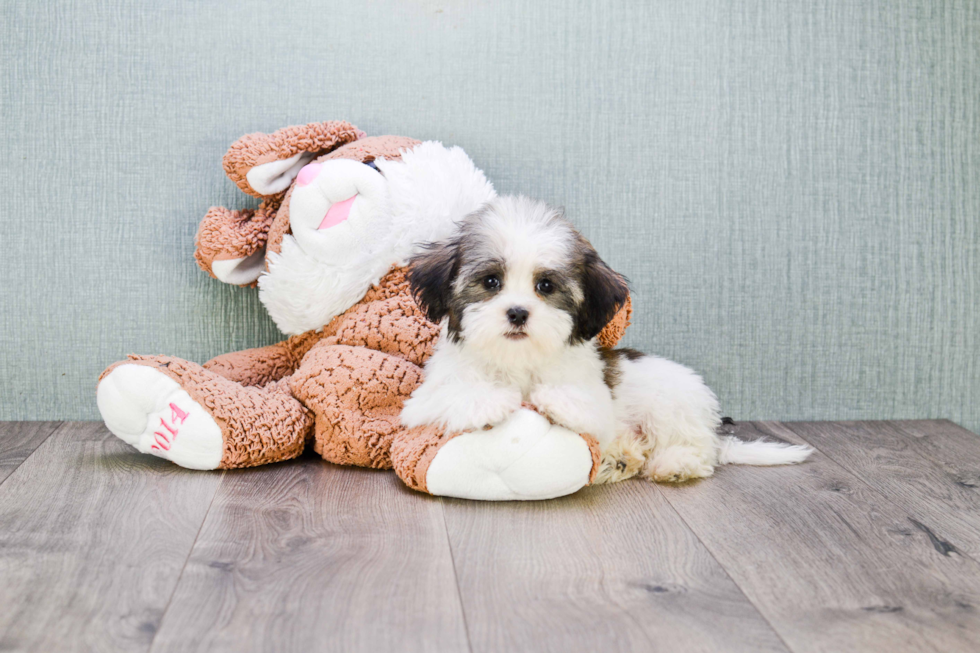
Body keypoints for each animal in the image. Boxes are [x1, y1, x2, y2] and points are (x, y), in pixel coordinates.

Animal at [398, 196, 812, 482]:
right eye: (490, 282)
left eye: (545, 286)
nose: (517, 312)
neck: (519, 360)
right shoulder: (422, 402)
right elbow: (454, 394)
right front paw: (492, 400)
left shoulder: (596, 403)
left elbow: (582, 403)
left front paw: (551, 397)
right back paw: (620, 460)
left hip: (672, 407)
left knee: (699, 450)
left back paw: (674, 463)